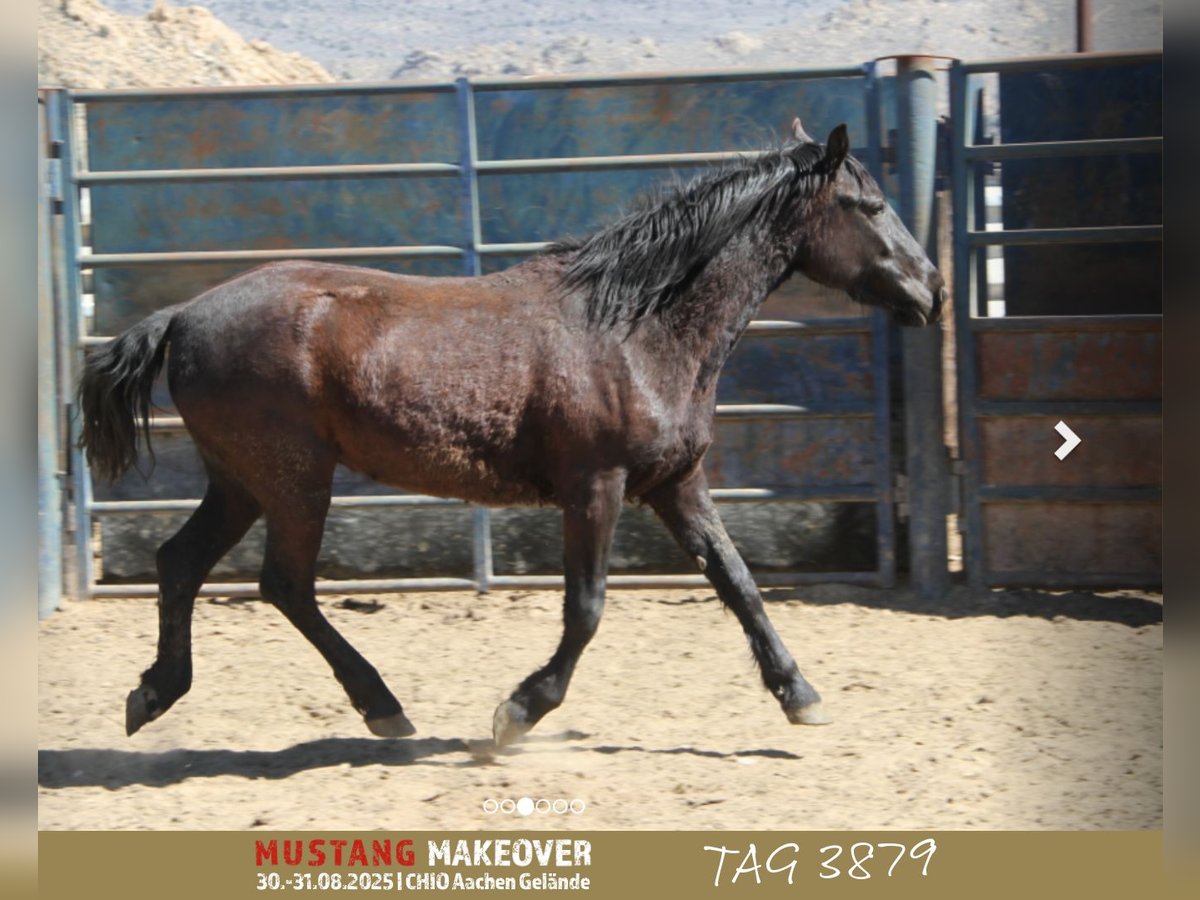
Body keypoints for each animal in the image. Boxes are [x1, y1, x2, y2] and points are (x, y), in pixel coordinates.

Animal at [82, 123, 945, 748]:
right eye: (869, 207)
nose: (931, 288)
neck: (635, 328)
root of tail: (184, 317)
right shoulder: (595, 487)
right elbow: (587, 607)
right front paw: (519, 711)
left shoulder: (676, 483)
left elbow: (738, 582)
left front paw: (801, 695)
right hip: (294, 480)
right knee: (283, 586)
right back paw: (383, 708)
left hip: (242, 481)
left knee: (181, 562)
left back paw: (152, 695)